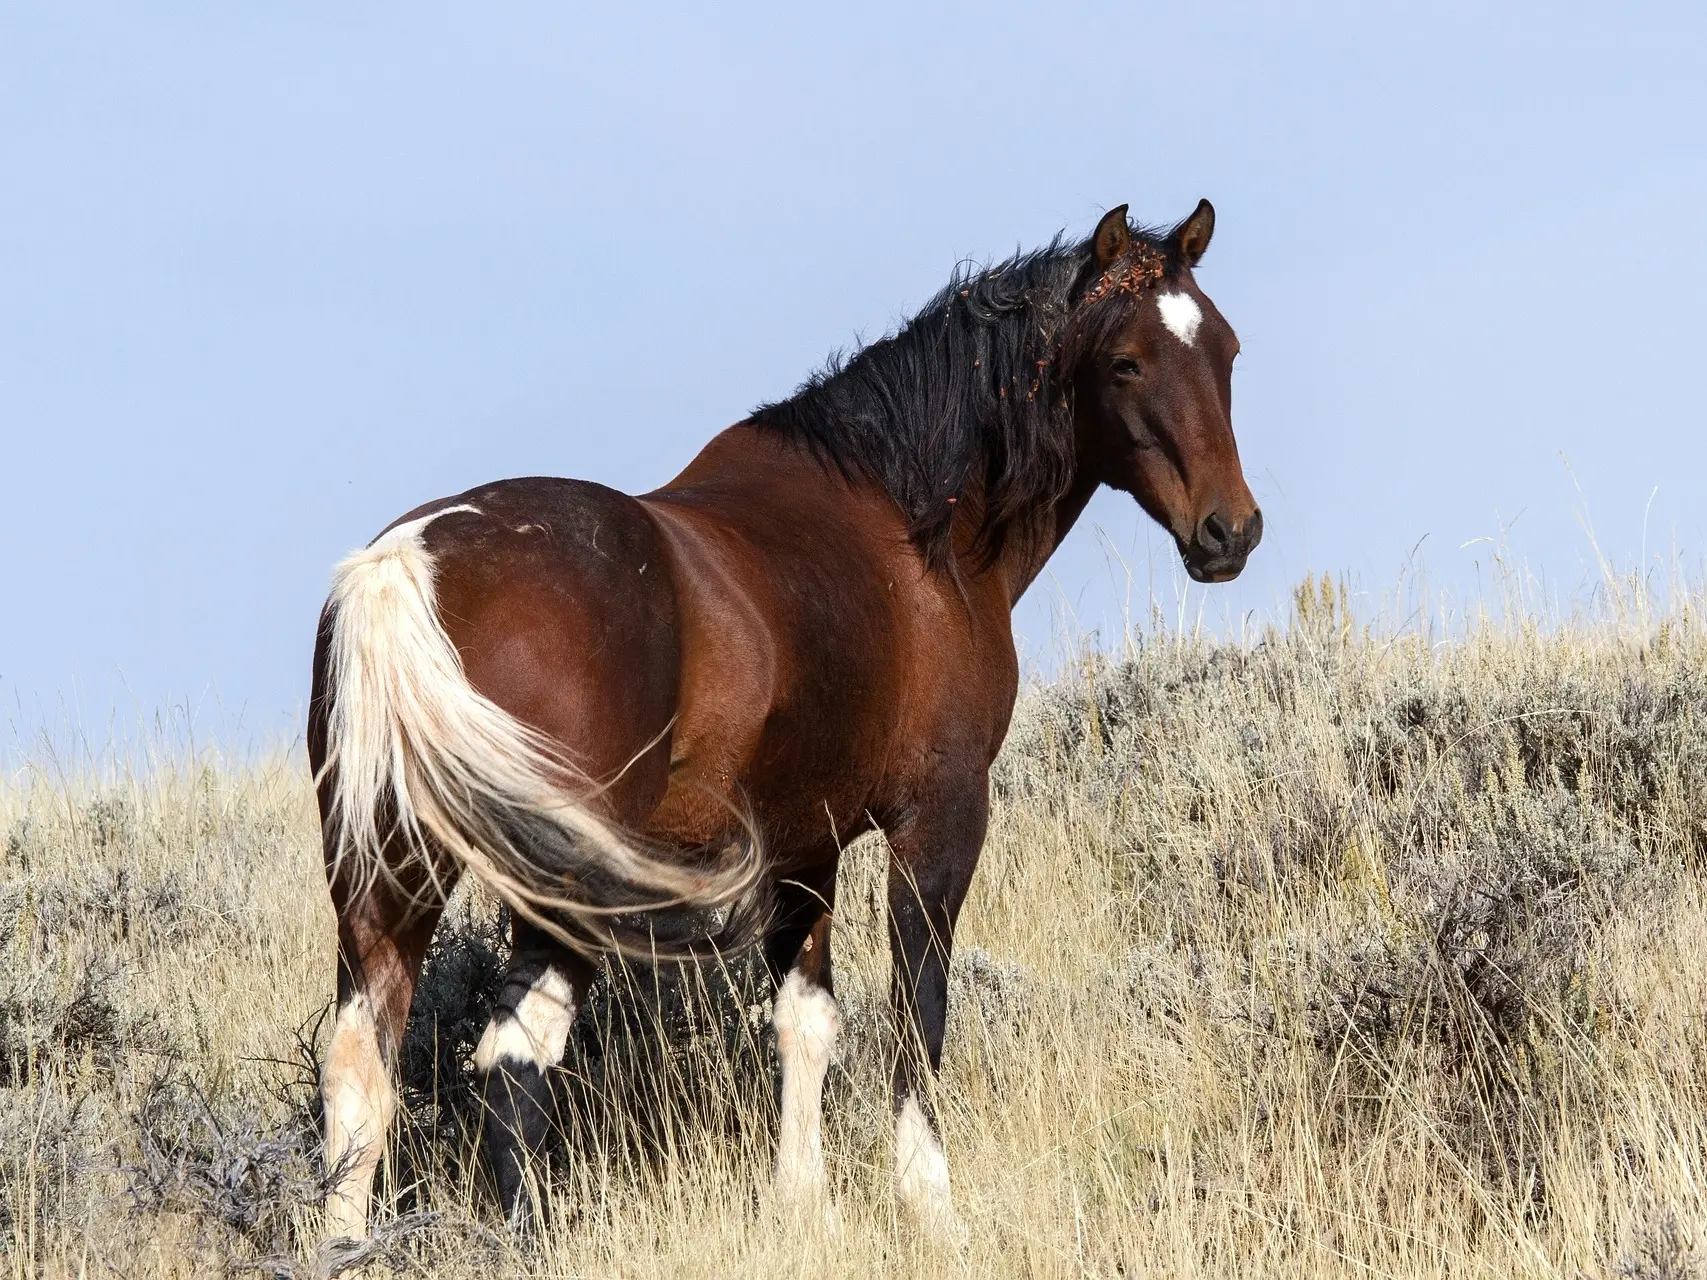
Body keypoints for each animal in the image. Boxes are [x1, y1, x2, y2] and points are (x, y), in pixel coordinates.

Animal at [310, 200, 1270, 1242]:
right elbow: (918, 1008)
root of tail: (408, 563)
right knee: (517, 1054)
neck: (909, 528)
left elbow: (805, 1022)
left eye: (1227, 349)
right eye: (1127, 362)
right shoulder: (939, 820)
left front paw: (802, 1205)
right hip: (552, 891)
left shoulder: (804, 846)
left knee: (362, 1060)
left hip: (387, 877)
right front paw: (928, 1202)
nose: (1230, 532)